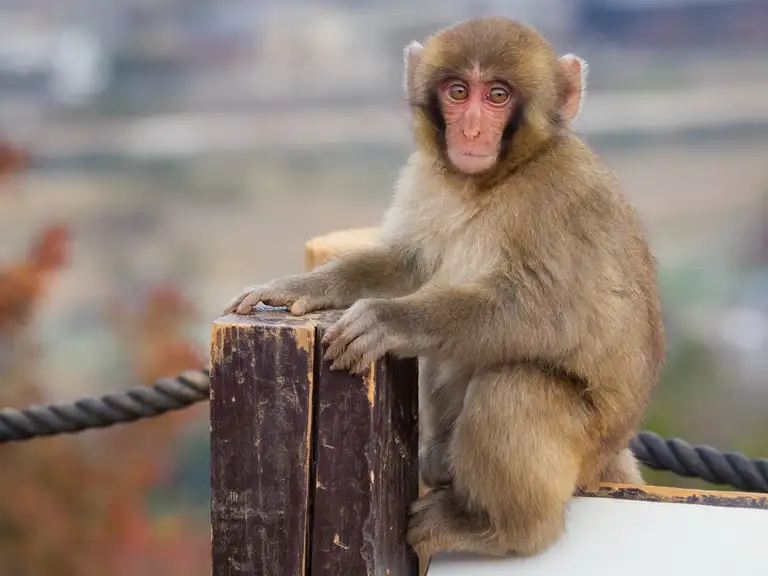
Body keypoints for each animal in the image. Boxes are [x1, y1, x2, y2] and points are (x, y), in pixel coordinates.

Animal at [223, 16, 664, 569]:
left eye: (497, 95)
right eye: (458, 92)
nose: (471, 129)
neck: (489, 181)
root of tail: (611, 454)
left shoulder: (561, 199)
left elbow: (552, 313)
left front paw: (387, 320)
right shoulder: (427, 181)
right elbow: (408, 266)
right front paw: (299, 287)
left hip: (585, 448)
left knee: (512, 388)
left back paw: (503, 531)